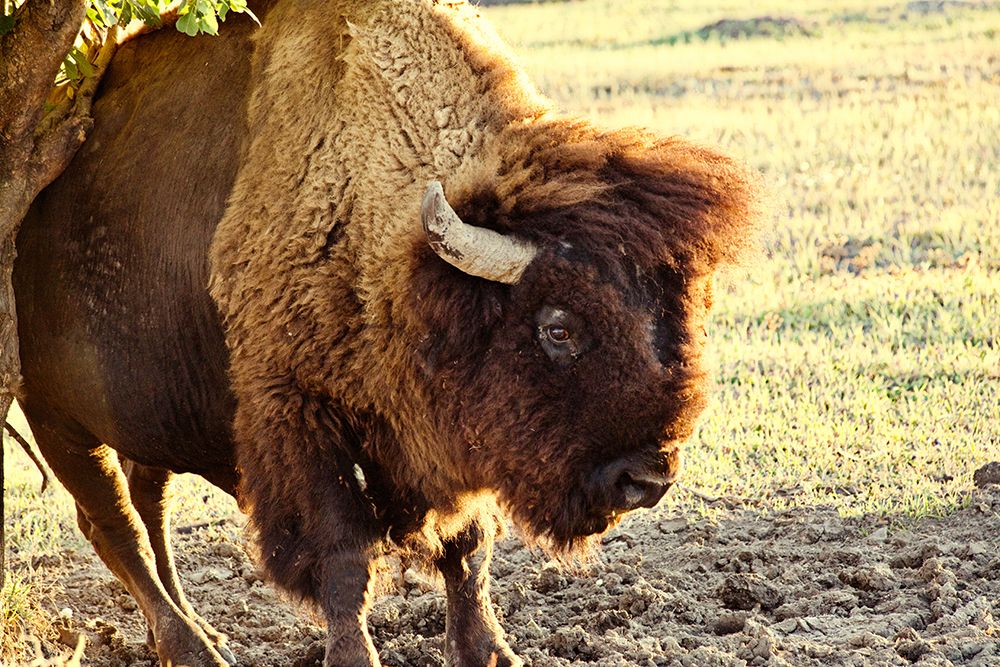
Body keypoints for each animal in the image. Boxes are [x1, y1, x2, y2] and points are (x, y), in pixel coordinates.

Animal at [13, 0, 759, 665]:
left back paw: (200, 635)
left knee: (150, 506)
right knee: (117, 527)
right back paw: (192, 648)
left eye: (690, 313)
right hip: (56, 419)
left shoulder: (445, 443)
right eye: (558, 327)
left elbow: (468, 550)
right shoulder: (303, 424)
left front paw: (492, 653)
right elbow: (346, 561)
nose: (648, 476)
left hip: (142, 418)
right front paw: (356, 656)